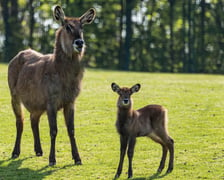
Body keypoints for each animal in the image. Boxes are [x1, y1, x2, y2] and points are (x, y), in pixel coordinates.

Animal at [7, 5, 95, 166]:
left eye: (82, 26)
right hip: (14, 96)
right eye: (67, 26)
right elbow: (53, 130)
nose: (79, 42)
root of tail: (17, 55)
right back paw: (15, 152)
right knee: (20, 121)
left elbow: (71, 130)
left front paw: (77, 158)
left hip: (37, 103)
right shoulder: (51, 102)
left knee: (33, 119)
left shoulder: (70, 101)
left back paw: (38, 150)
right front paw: (52, 160)